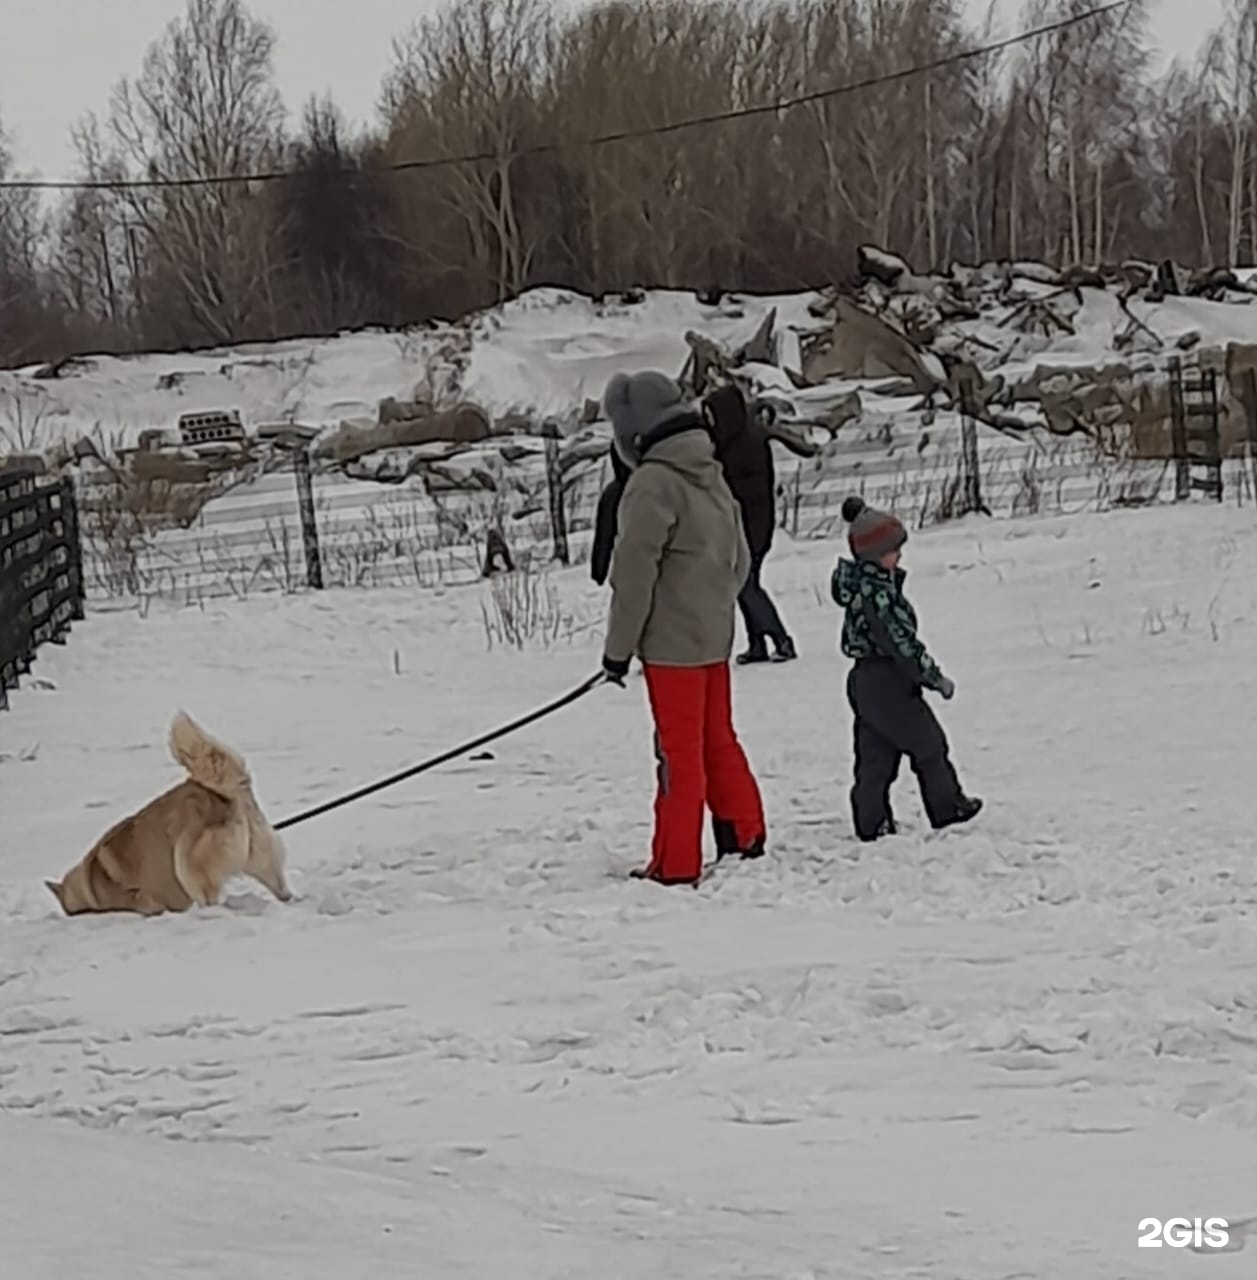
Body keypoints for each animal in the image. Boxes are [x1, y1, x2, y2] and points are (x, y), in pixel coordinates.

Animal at [46, 711, 293, 921]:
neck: (90, 883)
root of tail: (227, 793)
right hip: (261, 861)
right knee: (282, 890)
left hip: (187, 867)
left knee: (209, 900)